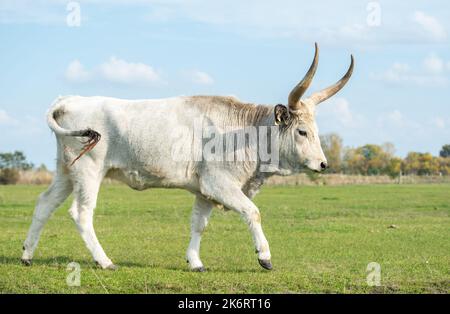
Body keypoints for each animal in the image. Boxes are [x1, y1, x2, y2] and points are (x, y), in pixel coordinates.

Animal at [22, 43, 352, 272]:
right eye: (302, 131)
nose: (323, 164)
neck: (243, 131)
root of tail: (69, 100)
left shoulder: (205, 190)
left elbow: (198, 225)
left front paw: (195, 261)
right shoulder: (220, 183)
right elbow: (252, 212)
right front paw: (265, 256)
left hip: (67, 171)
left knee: (44, 204)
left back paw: (27, 254)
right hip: (89, 172)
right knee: (81, 213)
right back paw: (105, 261)